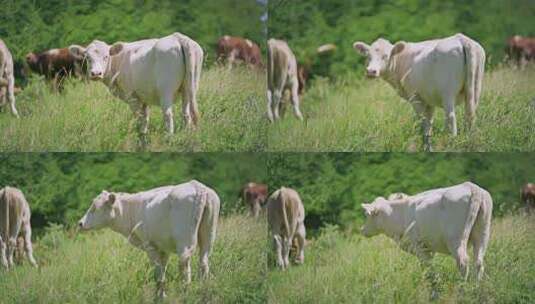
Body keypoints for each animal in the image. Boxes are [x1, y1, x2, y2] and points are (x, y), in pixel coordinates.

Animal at [70, 33, 204, 138]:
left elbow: (139, 118)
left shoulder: (132, 96)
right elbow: (145, 119)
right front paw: (144, 137)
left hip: (166, 91)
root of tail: (178, 37)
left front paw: (140, 138)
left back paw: (169, 138)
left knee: (168, 115)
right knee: (186, 114)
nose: (96, 73)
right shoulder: (144, 97)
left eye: (106, 56)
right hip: (189, 88)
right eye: (87, 57)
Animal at [78, 180, 220, 300]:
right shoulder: (163, 248)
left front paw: (160, 297)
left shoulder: (150, 246)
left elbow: (158, 274)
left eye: (95, 207)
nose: (80, 223)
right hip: (209, 235)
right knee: (204, 262)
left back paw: (185, 295)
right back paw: (204, 291)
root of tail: (198, 186)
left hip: (185, 241)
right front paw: (162, 295)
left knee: (185, 266)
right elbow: (163, 270)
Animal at [354, 33, 488, 151]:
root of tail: (461, 39)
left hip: (448, 93)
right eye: (368, 56)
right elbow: (429, 124)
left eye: (386, 56)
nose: (371, 71)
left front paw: (426, 148)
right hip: (475, 89)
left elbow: (423, 123)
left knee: (451, 118)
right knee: (470, 115)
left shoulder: (415, 97)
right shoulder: (429, 100)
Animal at [360, 182, 494, 282]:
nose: (362, 230)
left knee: (463, 262)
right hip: (483, 233)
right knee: (479, 261)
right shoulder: (428, 247)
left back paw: (462, 287)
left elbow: (427, 267)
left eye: (367, 215)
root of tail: (472, 187)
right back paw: (476, 286)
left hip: (456, 238)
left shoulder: (418, 246)